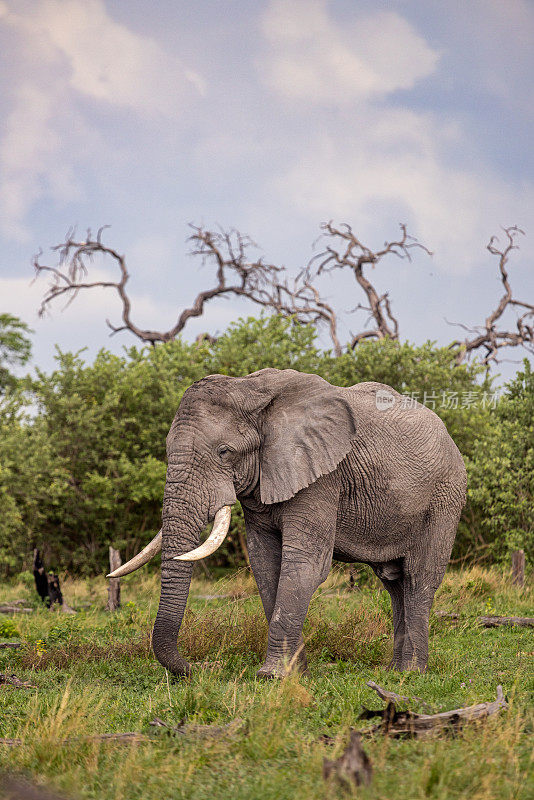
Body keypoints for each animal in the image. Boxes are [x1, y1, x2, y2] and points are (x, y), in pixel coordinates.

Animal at [110, 368, 468, 676]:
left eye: (225, 452)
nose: (201, 668)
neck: (250, 388)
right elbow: (265, 564)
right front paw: (295, 675)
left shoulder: (323, 476)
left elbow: (304, 564)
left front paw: (272, 677)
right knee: (394, 583)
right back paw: (394, 672)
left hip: (445, 498)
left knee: (419, 578)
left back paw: (412, 673)